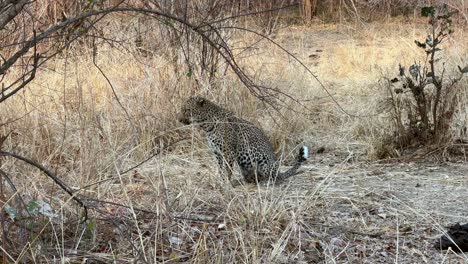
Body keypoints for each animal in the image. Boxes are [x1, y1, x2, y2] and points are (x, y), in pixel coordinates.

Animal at [178, 96, 308, 185]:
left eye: (187, 110)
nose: (179, 119)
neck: (206, 125)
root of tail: (279, 171)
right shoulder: (217, 153)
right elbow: (220, 169)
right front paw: (221, 181)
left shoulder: (228, 152)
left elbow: (227, 169)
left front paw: (226, 183)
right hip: (245, 167)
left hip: (264, 161)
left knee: (273, 177)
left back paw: (267, 182)